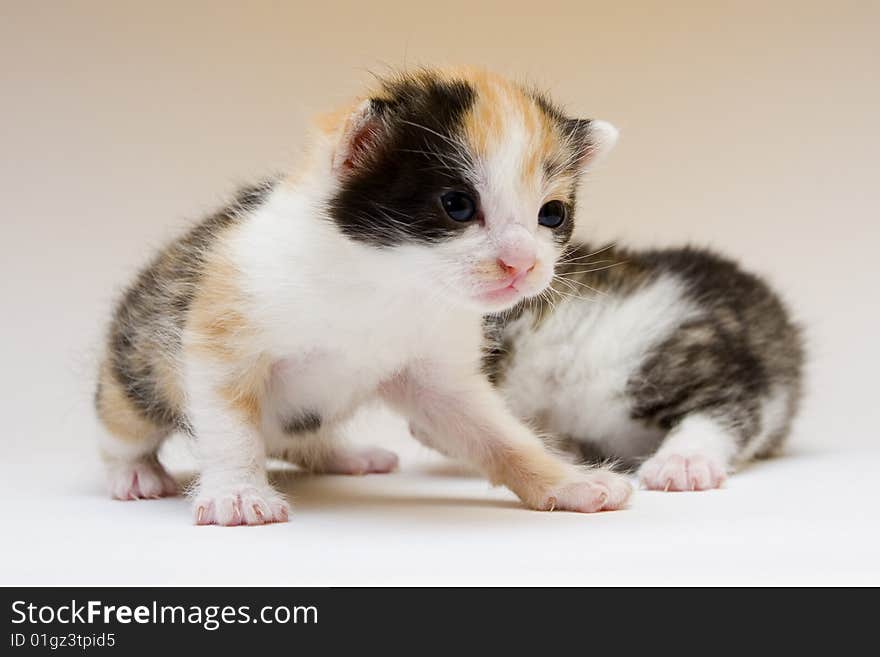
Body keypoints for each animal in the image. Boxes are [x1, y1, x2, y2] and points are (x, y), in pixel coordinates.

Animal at [94, 66, 632, 524]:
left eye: (552, 214)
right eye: (457, 205)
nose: (523, 264)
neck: (381, 279)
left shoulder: (435, 374)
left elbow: (497, 432)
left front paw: (570, 483)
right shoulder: (222, 329)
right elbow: (230, 424)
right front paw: (238, 492)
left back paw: (344, 455)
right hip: (136, 362)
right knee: (123, 424)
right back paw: (133, 472)